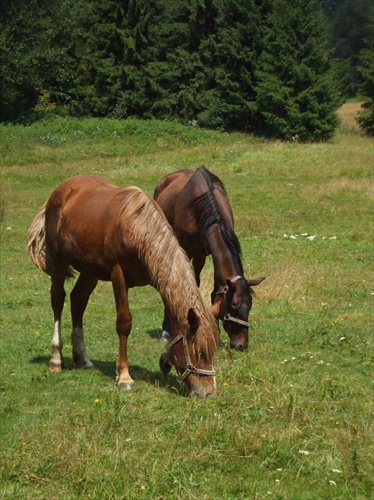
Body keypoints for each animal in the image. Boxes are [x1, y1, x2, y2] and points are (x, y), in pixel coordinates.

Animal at [27, 176, 219, 398]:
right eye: (198, 351)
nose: (208, 392)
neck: (138, 230)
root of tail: (60, 191)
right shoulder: (118, 275)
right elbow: (124, 323)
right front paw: (124, 376)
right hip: (58, 264)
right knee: (58, 300)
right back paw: (56, 359)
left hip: (90, 270)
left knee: (78, 301)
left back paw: (81, 358)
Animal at [153, 166, 264, 350]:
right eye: (234, 307)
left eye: (249, 306)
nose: (241, 344)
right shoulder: (187, 250)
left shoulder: (203, 253)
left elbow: (212, 291)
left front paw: (216, 337)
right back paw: (166, 330)